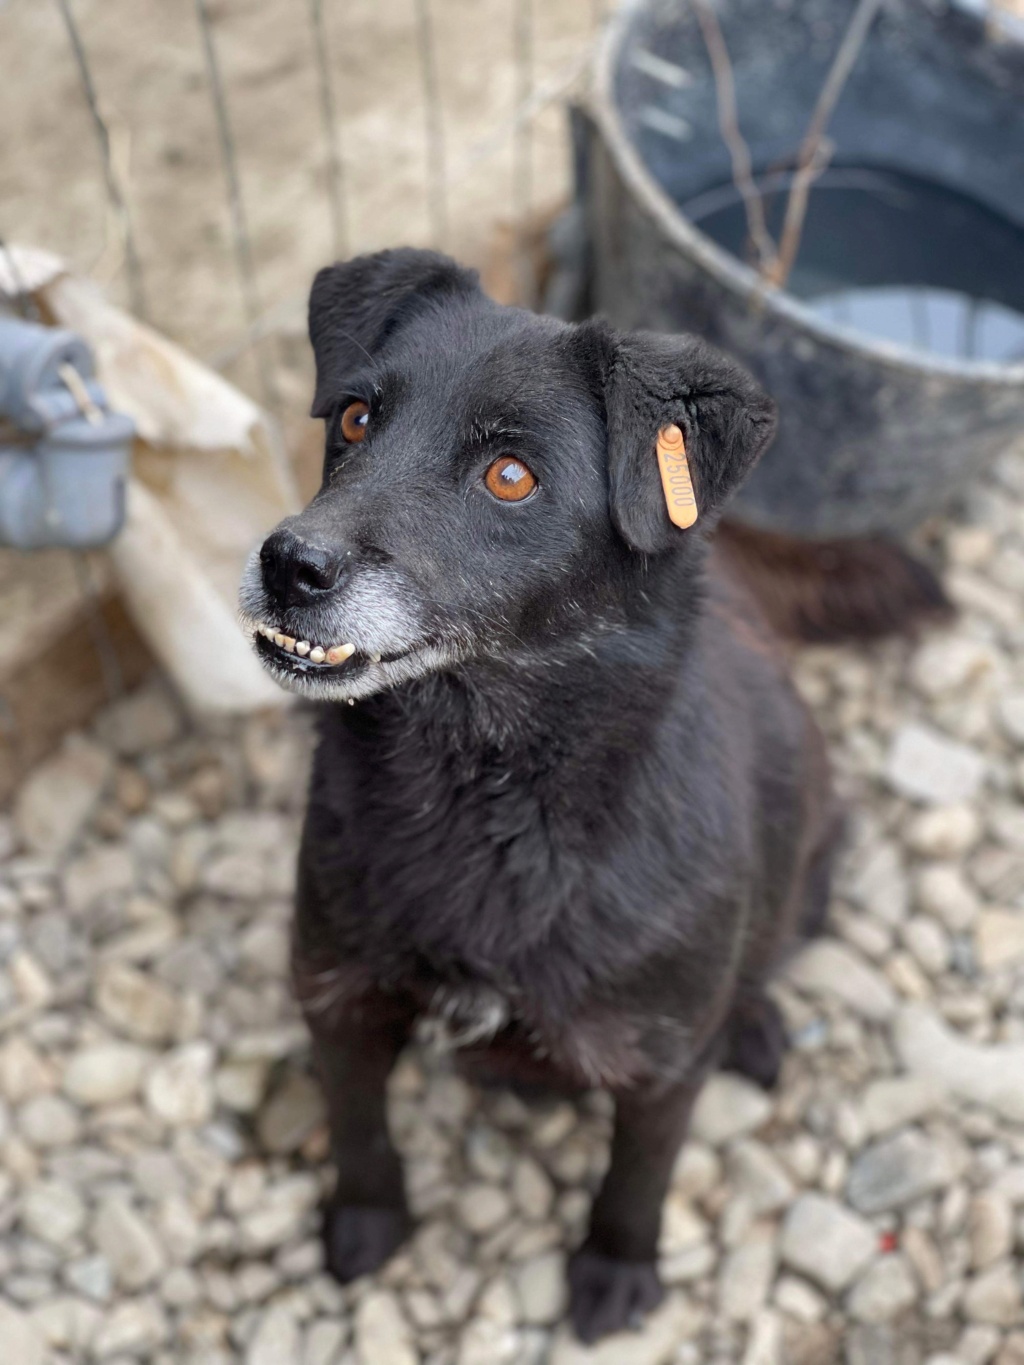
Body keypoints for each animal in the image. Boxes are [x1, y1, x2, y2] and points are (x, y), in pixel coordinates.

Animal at [243, 248, 841, 1343]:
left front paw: (615, 1271)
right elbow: (357, 1128)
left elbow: (637, 1178)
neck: (479, 788)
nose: (289, 564)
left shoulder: (657, 1066)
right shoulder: (338, 996)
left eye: (509, 476)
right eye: (353, 418)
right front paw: (366, 1223)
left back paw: (752, 1023)